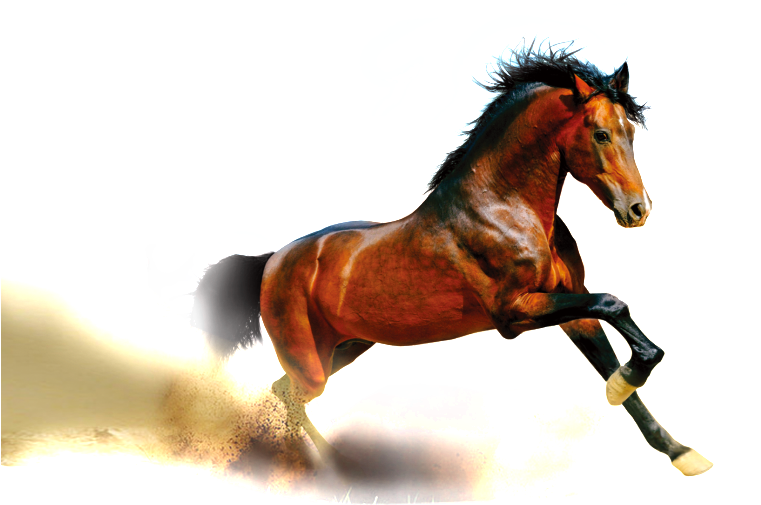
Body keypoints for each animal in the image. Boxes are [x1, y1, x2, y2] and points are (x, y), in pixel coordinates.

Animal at [189, 40, 713, 485]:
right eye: (601, 134)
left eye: (631, 132)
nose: (638, 210)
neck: (504, 206)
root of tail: (272, 260)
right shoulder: (515, 312)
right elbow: (616, 306)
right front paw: (623, 385)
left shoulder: (571, 309)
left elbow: (620, 347)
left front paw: (683, 453)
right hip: (308, 354)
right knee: (290, 398)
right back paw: (343, 471)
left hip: (343, 346)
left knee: (282, 393)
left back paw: (333, 469)